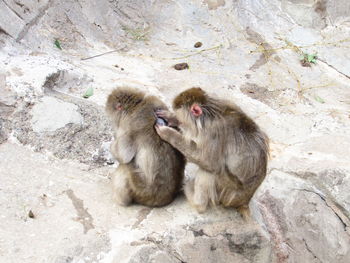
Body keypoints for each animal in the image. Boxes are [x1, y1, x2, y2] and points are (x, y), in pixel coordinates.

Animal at [155, 87, 268, 218]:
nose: (177, 120)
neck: (209, 114)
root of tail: (244, 201)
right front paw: (171, 117)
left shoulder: (214, 133)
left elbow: (208, 161)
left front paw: (169, 133)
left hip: (227, 192)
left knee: (211, 170)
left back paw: (196, 201)